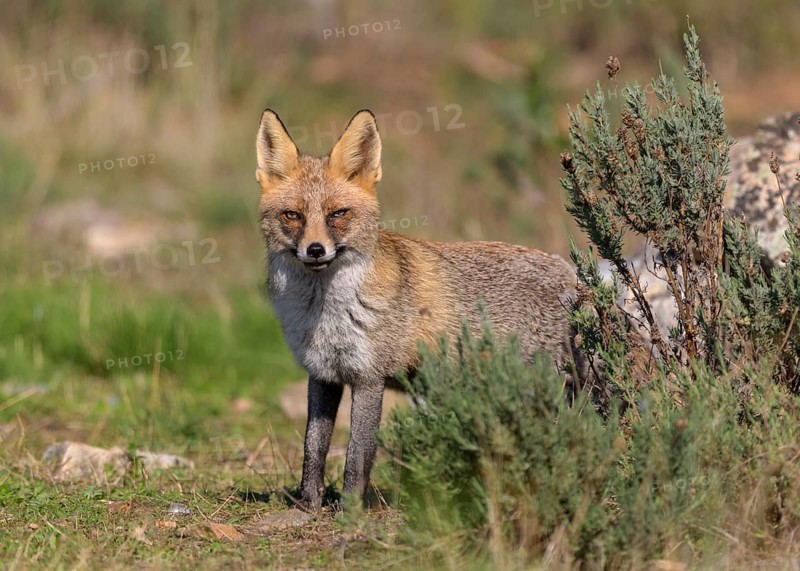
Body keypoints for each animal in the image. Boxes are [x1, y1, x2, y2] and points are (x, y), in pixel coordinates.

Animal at [255, 108, 582, 521]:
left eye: (338, 214)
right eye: (292, 215)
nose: (315, 250)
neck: (325, 315)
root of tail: (574, 277)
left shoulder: (369, 378)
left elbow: (357, 455)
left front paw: (350, 513)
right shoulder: (323, 374)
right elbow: (313, 448)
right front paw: (306, 506)